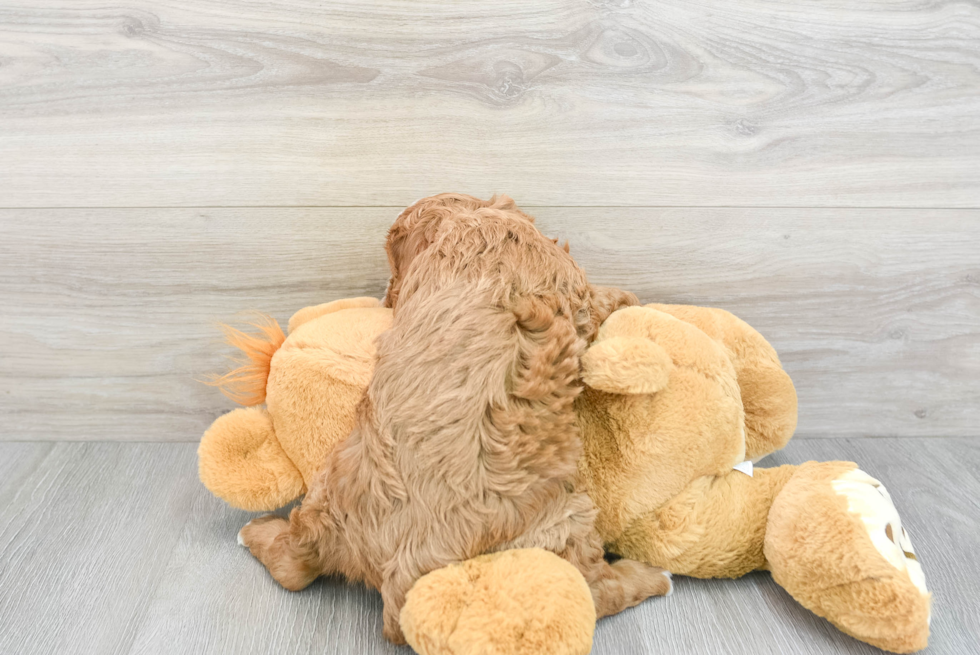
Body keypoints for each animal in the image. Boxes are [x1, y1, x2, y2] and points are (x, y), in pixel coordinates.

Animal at [240, 192, 668, 644]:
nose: (386, 298)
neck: (469, 222)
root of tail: (400, 581)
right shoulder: (574, 289)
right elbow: (600, 299)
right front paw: (628, 297)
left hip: (328, 488)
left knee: (292, 563)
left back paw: (255, 531)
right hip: (566, 521)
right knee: (600, 591)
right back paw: (651, 577)